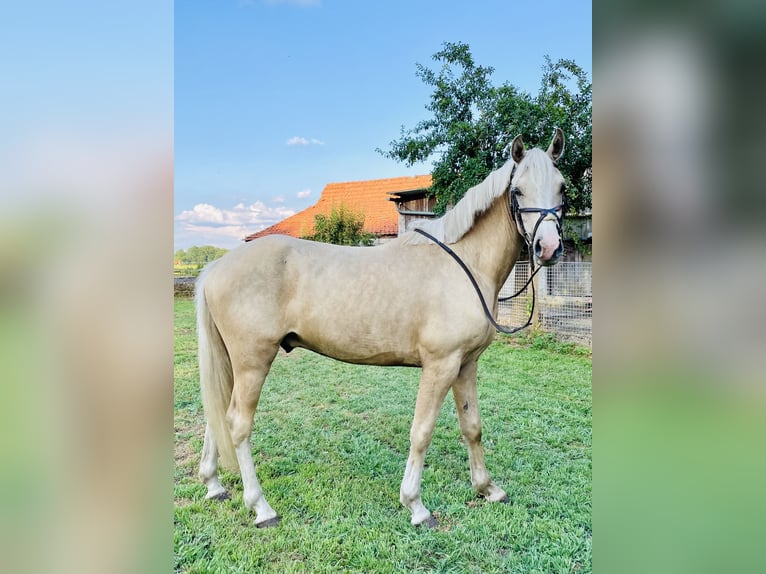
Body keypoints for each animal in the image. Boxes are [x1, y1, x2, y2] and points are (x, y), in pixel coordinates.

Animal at [195, 129, 567, 528]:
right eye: (518, 191)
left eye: (562, 187)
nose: (548, 248)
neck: (464, 264)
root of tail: (216, 267)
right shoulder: (441, 365)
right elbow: (422, 432)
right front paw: (415, 505)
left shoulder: (466, 365)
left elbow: (472, 427)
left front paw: (487, 489)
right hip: (253, 362)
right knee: (237, 423)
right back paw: (261, 507)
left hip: (232, 362)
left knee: (216, 415)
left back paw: (214, 485)